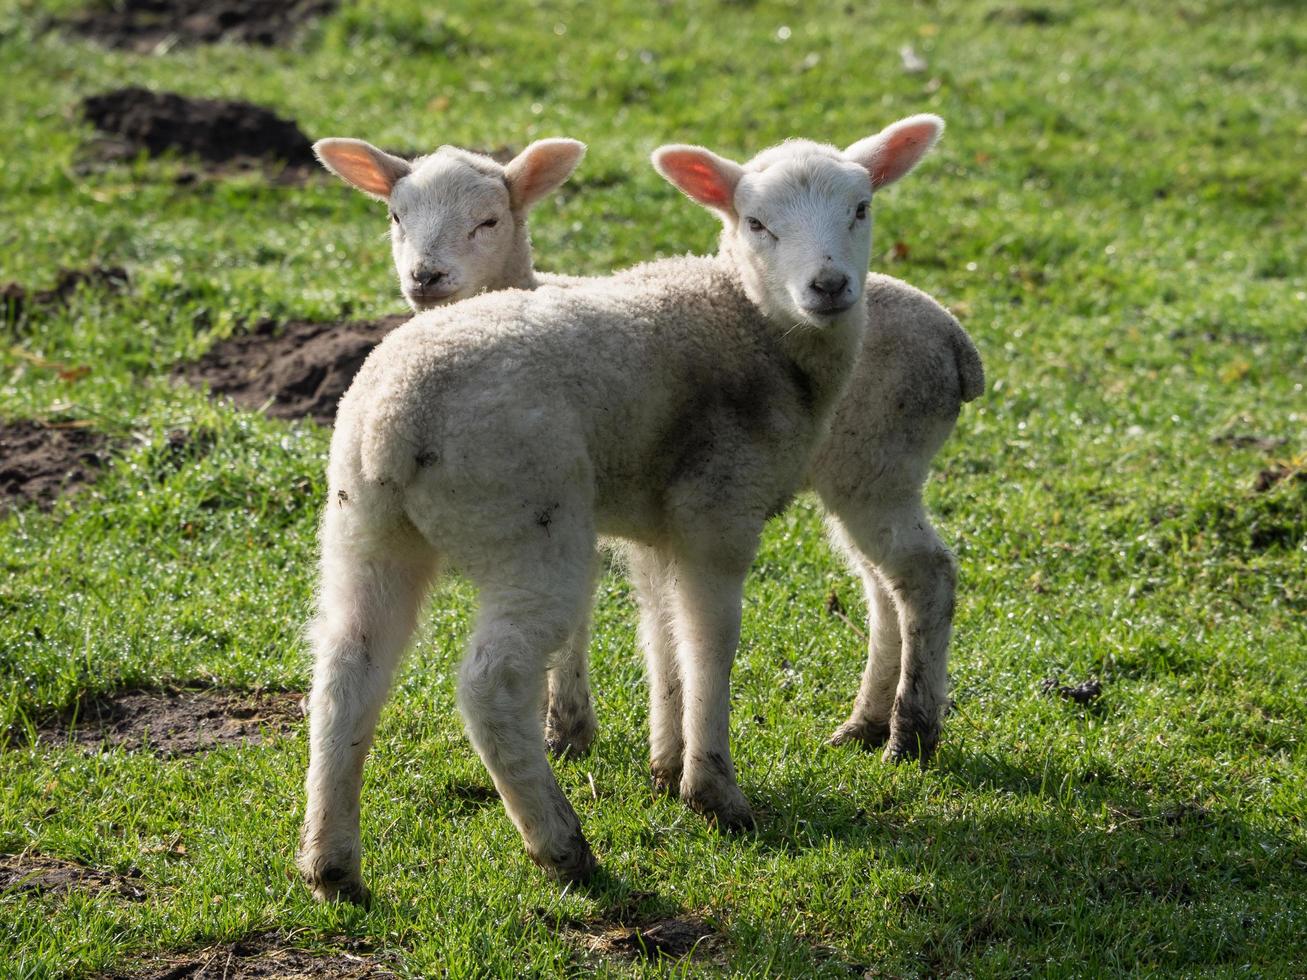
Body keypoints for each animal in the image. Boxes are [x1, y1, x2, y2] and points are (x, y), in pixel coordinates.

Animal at [300, 113, 946, 898]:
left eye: (861, 208)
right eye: (756, 223)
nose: (828, 285)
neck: (753, 322)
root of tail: (397, 420)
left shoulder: (659, 522)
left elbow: (663, 638)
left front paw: (666, 765)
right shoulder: (717, 513)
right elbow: (708, 643)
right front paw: (711, 790)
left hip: (364, 527)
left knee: (346, 669)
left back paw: (333, 864)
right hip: (530, 523)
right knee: (491, 685)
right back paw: (562, 845)